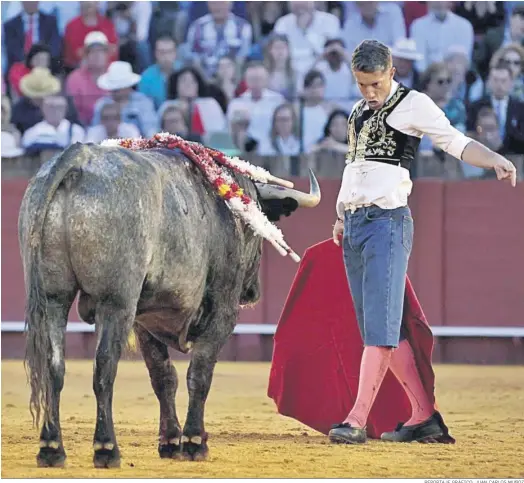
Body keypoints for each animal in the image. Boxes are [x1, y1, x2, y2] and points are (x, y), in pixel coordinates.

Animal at [18, 143, 320, 468]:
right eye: (254, 229)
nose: (252, 292)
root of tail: (79, 158)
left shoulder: (145, 321)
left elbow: (163, 377)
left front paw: (170, 441)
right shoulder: (222, 311)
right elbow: (199, 373)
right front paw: (194, 442)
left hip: (53, 298)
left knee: (54, 367)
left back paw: (51, 447)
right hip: (116, 302)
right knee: (104, 367)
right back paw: (106, 448)